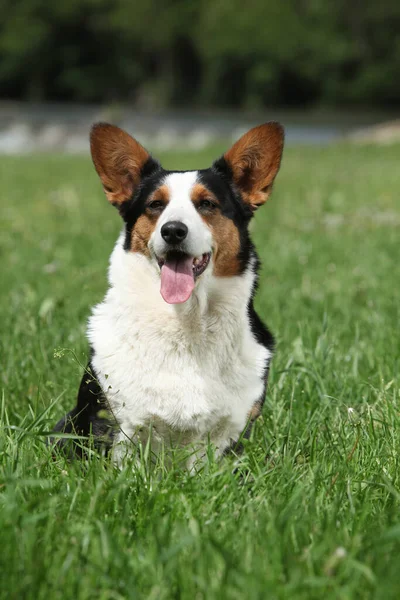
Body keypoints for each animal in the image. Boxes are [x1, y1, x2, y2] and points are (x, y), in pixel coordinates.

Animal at [54, 123, 284, 468]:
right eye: (155, 205)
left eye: (207, 204)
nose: (173, 230)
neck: (186, 321)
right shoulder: (118, 428)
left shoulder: (227, 439)